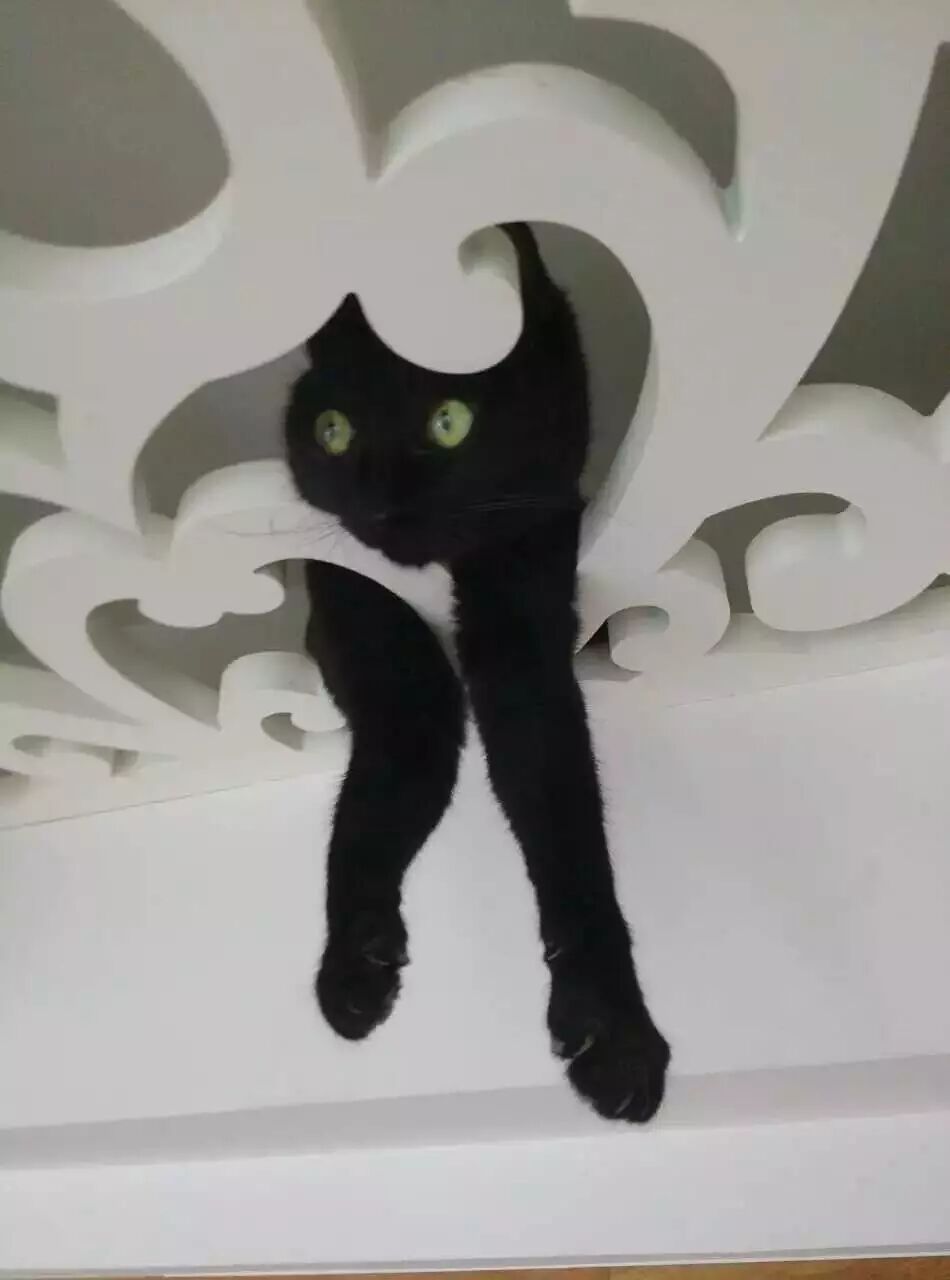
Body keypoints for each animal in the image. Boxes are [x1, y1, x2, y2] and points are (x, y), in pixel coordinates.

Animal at [284, 224, 669, 1122]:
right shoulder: (369, 646)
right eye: (333, 430)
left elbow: (567, 828)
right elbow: (370, 806)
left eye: (450, 421)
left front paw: (615, 1031)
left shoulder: (525, 620)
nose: (381, 502)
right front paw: (352, 967)